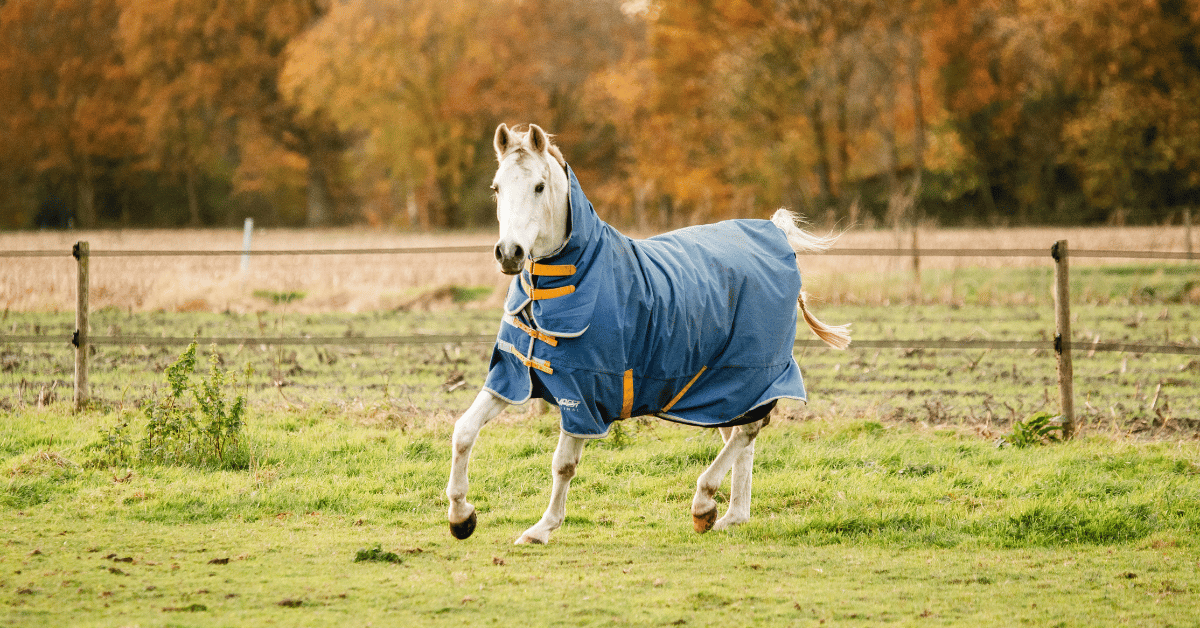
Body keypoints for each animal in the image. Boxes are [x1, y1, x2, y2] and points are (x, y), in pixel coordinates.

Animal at [446, 123, 851, 544]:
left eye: (540, 186)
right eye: (496, 187)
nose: (509, 253)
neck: (561, 285)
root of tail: (776, 234)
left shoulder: (582, 394)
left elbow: (563, 465)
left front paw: (541, 529)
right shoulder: (511, 376)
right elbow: (463, 432)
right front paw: (461, 517)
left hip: (747, 372)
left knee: (748, 430)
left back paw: (703, 504)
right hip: (722, 388)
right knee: (741, 434)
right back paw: (731, 515)